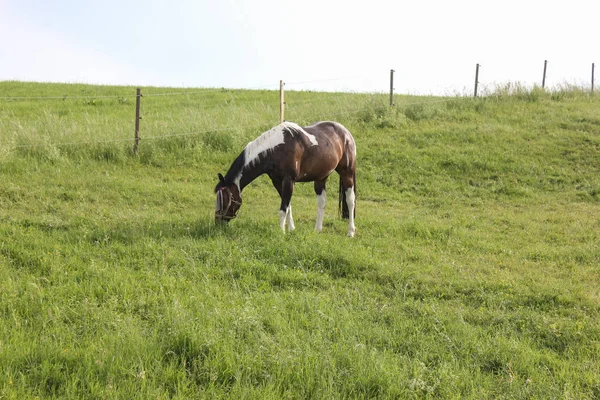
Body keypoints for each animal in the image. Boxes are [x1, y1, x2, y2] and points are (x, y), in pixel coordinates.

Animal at [214, 120, 356, 236]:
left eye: (225, 199)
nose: (217, 223)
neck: (276, 149)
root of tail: (346, 133)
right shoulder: (278, 182)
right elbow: (288, 205)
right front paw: (291, 229)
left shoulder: (288, 181)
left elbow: (283, 208)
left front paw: (281, 232)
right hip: (321, 177)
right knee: (322, 201)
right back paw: (317, 230)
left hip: (347, 174)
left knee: (350, 200)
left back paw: (350, 232)